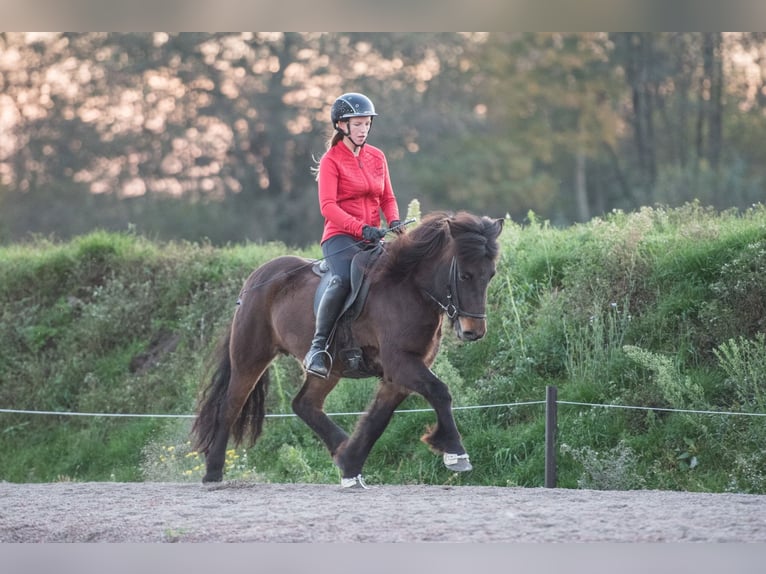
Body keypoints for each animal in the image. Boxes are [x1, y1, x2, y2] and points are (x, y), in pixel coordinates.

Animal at [191, 209, 504, 488]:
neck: (408, 289)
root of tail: (256, 279)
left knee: (304, 404)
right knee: (230, 406)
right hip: (251, 357)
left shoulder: (399, 373)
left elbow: (378, 419)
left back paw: (340, 447)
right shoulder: (401, 364)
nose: (473, 331)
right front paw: (455, 453)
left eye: (490, 275)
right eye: (464, 275)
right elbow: (440, 392)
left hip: (330, 369)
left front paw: (351, 466)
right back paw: (213, 472)